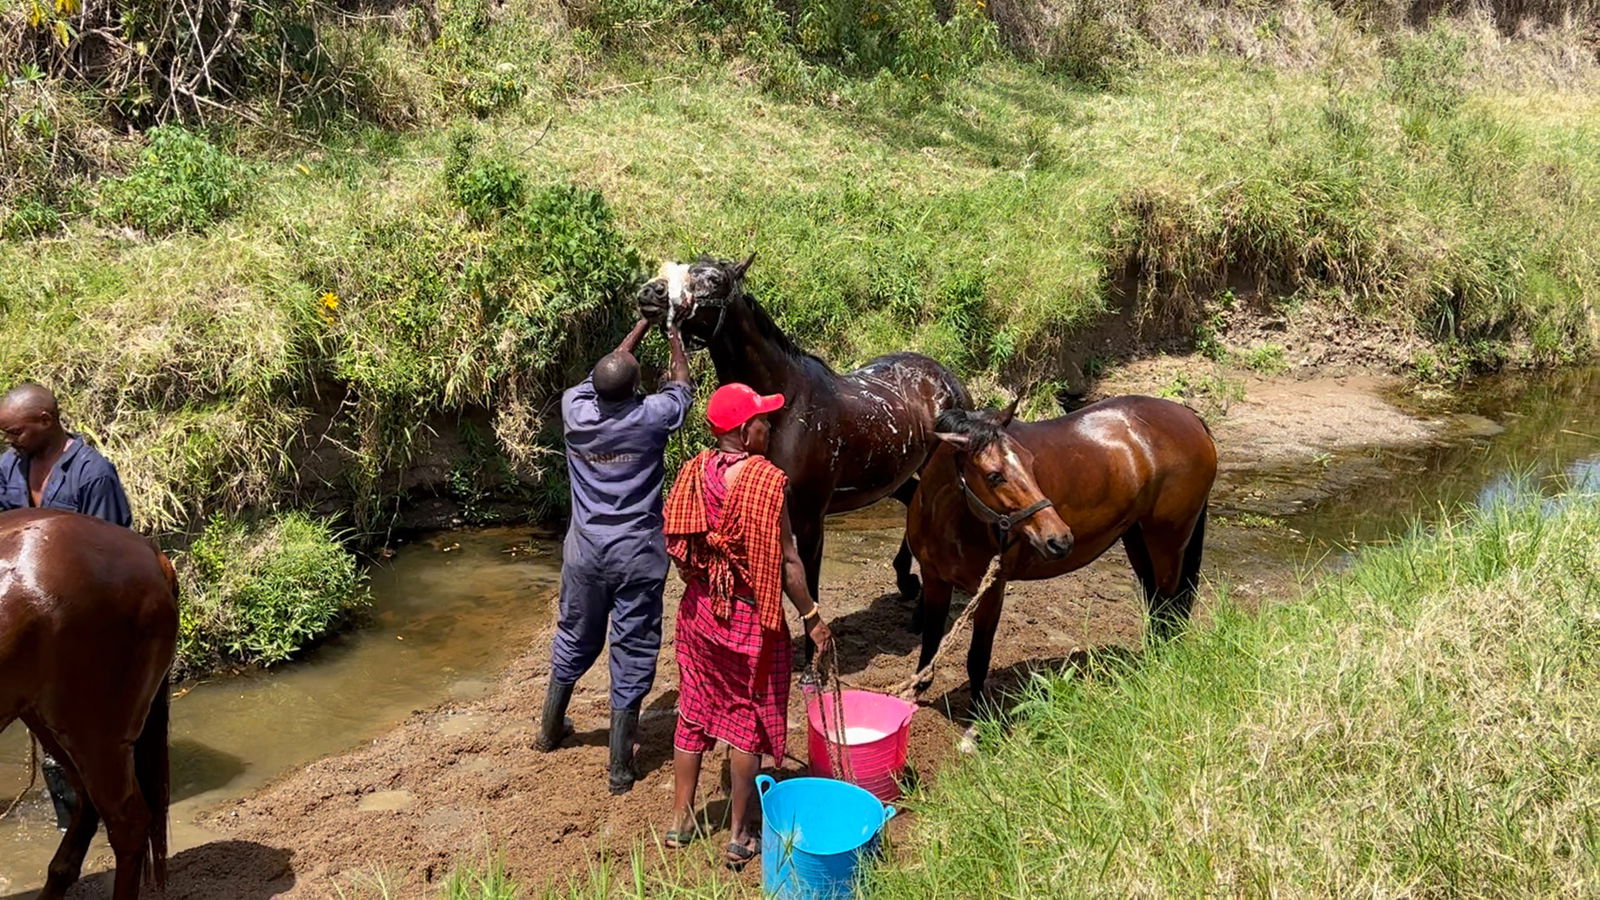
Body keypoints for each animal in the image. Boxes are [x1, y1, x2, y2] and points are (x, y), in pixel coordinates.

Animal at [640, 253, 972, 656]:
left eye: (715, 280)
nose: (651, 292)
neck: (785, 404)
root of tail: (946, 378)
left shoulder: (811, 515)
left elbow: (809, 584)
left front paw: (815, 656)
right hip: (897, 477)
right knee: (913, 505)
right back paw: (908, 586)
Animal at [906, 395, 1217, 716]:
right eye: (994, 476)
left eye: (1031, 462)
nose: (1059, 539)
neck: (948, 521)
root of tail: (1192, 420)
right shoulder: (934, 579)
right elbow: (930, 641)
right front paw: (914, 693)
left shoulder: (991, 590)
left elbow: (978, 657)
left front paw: (979, 719)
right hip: (1138, 539)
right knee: (1156, 602)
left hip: (1168, 540)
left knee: (1168, 605)